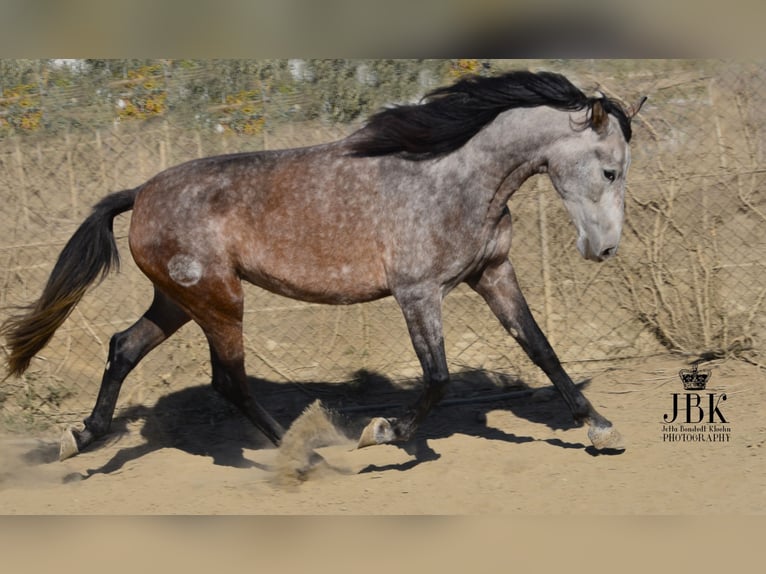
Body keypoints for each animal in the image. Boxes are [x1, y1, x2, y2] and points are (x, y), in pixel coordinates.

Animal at [1, 70, 648, 462]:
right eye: (610, 169)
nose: (604, 250)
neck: (453, 178)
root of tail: (140, 192)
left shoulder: (492, 274)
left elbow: (540, 348)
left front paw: (601, 428)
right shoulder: (418, 292)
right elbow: (437, 377)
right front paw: (382, 432)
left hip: (180, 301)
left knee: (125, 348)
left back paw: (81, 436)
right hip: (220, 299)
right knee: (228, 381)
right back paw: (310, 450)